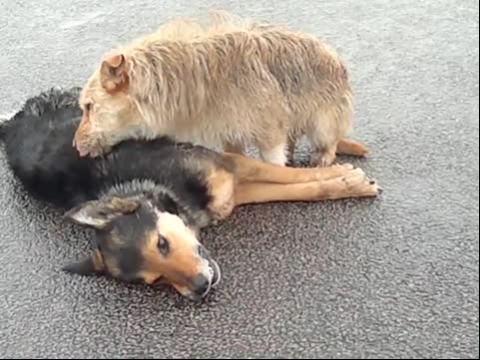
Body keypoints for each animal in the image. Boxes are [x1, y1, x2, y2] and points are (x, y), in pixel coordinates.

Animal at [0, 88, 380, 300]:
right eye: (156, 280)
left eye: (161, 244)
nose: (200, 287)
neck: (150, 184)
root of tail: (12, 121)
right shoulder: (228, 192)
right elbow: (295, 188)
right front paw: (343, 181)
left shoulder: (230, 165)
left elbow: (297, 176)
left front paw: (347, 179)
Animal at [74, 11, 368, 167]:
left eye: (89, 107)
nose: (75, 146)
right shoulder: (230, 135)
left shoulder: (270, 133)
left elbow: (273, 160)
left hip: (323, 121)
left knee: (327, 142)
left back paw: (323, 158)